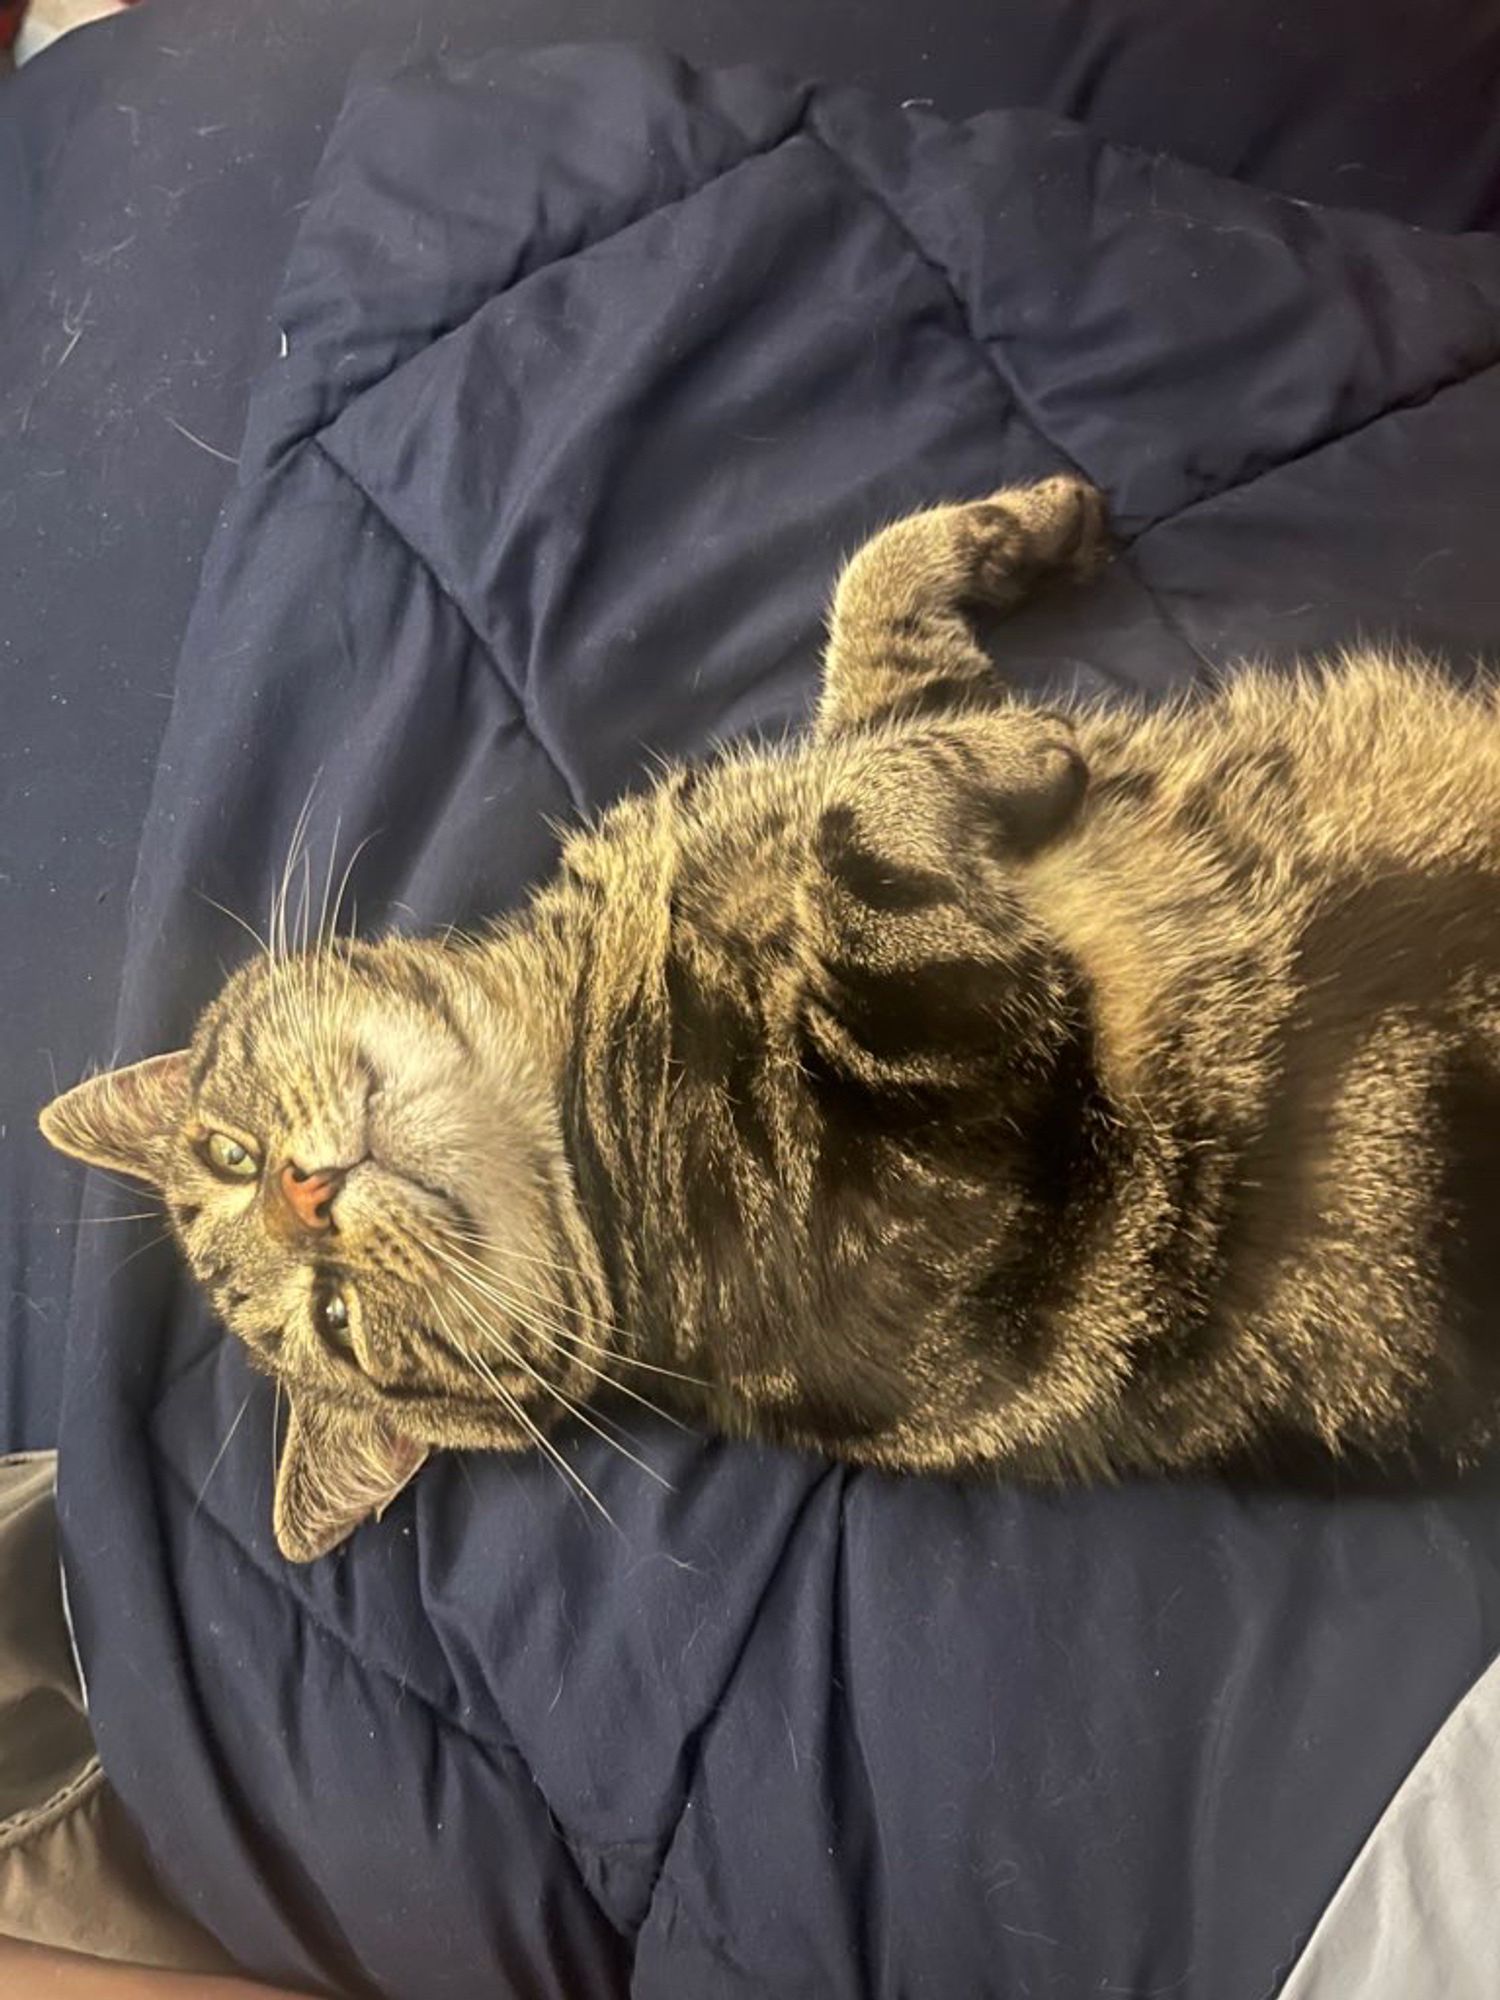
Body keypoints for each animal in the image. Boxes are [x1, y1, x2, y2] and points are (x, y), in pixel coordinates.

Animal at [38, 472, 1500, 1560]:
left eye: (227, 1155)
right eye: (334, 1325)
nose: (304, 1195)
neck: (578, 1030)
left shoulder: (857, 737)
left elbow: (869, 613)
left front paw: (1015, 531)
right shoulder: (953, 1138)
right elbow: (867, 831)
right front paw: (1014, 750)